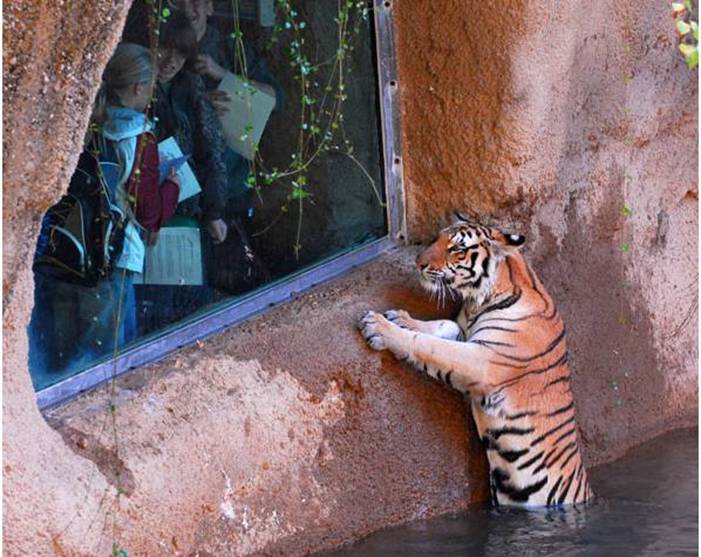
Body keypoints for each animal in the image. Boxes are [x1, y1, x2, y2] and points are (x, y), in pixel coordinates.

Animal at [359, 213, 592, 507]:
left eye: (456, 249)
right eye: (437, 238)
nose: (419, 262)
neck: (478, 303)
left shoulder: (483, 362)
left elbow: (430, 347)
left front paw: (379, 327)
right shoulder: (469, 337)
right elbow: (445, 325)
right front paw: (402, 318)